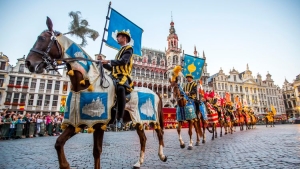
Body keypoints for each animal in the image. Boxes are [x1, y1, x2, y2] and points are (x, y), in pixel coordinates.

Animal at [24, 17, 168, 169]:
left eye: (42, 38)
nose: (28, 63)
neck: (86, 83)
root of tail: (156, 93)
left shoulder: (99, 124)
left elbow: (97, 151)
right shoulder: (77, 122)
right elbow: (59, 143)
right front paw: (65, 165)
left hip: (153, 118)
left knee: (160, 133)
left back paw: (162, 156)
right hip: (137, 120)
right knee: (143, 139)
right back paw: (139, 162)